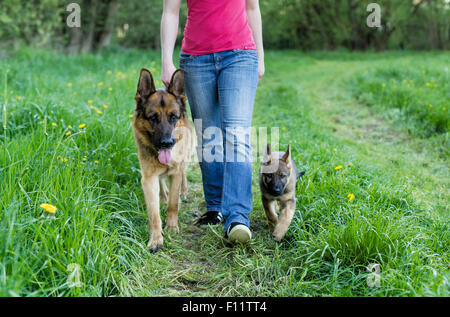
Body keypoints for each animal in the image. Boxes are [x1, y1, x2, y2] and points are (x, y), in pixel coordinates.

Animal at [131, 68, 192, 251]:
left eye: (173, 117)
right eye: (153, 117)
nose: (167, 143)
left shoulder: (176, 174)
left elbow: (173, 204)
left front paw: (171, 226)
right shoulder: (148, 179)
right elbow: (154, 213)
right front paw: (156, 239)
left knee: (184, 174)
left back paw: (184, 191)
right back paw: (163, 196)